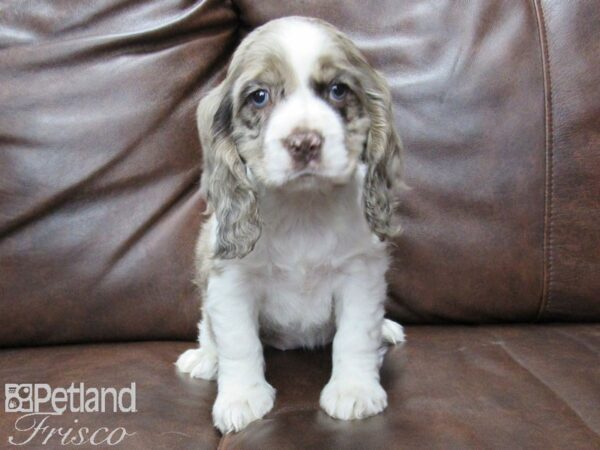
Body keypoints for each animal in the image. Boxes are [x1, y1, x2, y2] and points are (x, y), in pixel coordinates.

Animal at [176, 15, 406, 434]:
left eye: (337, 90)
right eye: (259, 96)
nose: (304, 142)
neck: (303, 207)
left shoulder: (360, 274)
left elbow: (355, 336)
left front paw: (354, 390)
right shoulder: (230, 281)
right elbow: (238, 342)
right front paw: (242, 398)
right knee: (209, 329)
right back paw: (204, 358)